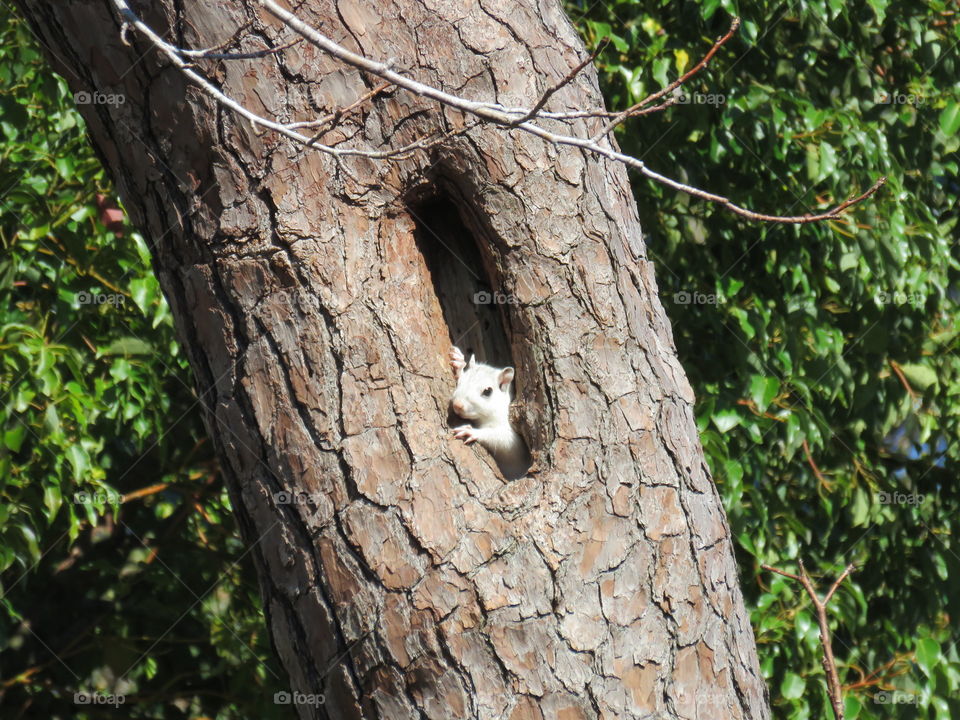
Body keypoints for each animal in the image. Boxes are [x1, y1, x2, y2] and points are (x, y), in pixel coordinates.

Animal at [450, 346, 532, 480]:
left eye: (488, 391)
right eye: (461, 381)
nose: (457, 405)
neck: (482, 419)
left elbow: (506, 440)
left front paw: (471, 431)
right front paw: (459, 363)